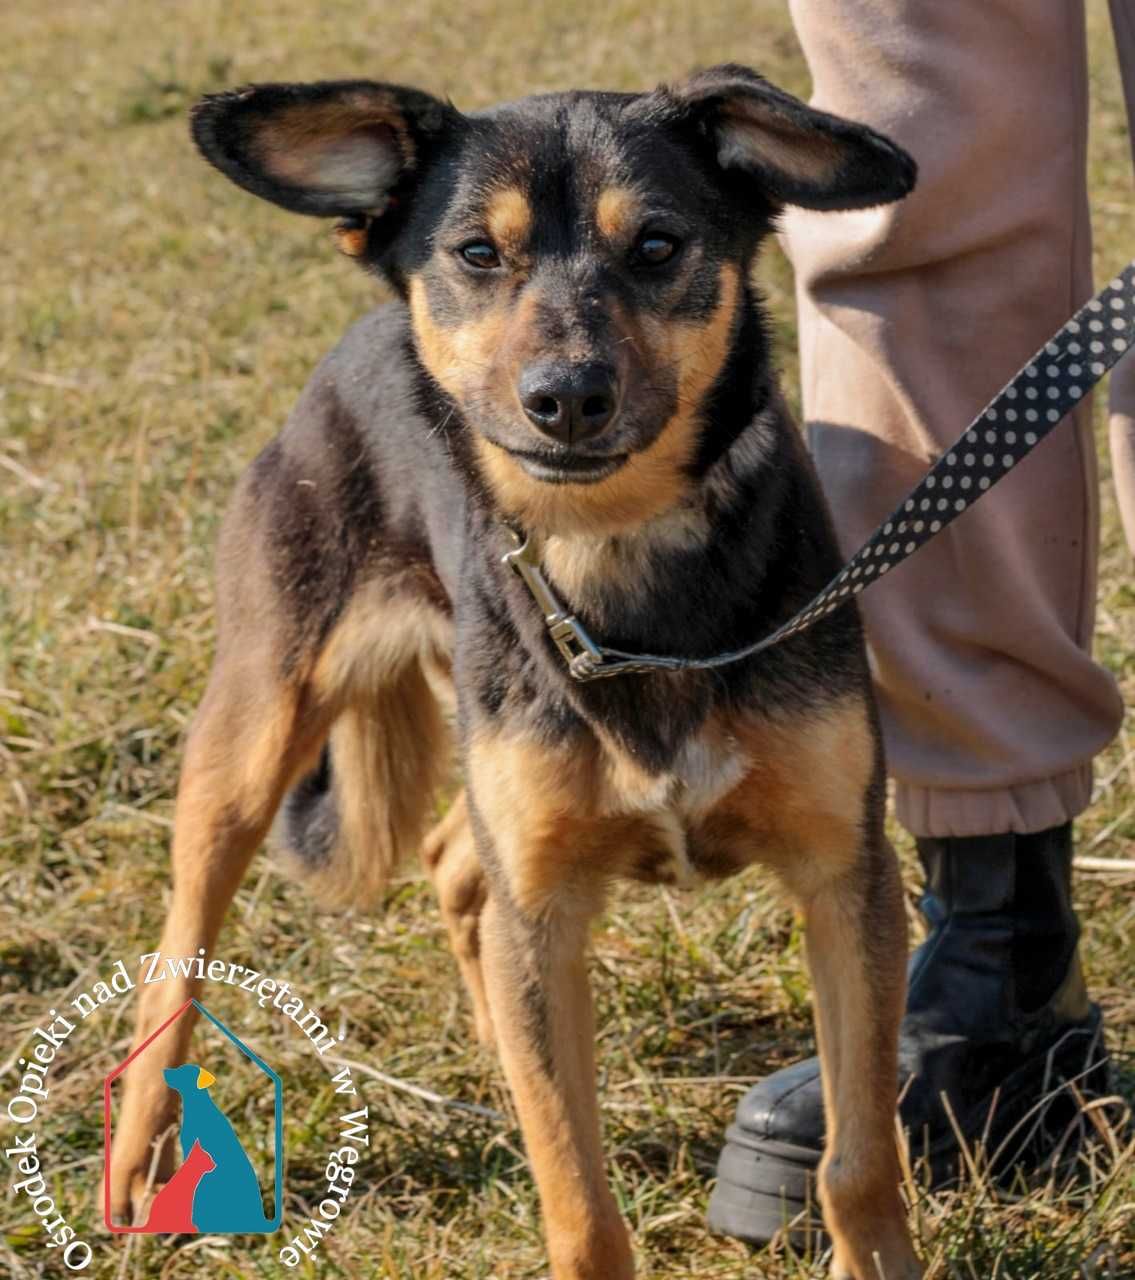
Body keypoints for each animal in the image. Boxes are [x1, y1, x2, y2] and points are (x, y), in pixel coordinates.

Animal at [106, 70, 921, 1280]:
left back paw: (496, 1044)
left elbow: (859, 1161)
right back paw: (137, 1143)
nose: (566, 396)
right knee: (185, 944)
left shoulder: (845, 878)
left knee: (455, 865)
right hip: (255, 734)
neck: (614, 554)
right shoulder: (542, 901)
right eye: (477, 254)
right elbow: (578, 1204)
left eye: (658, 244)